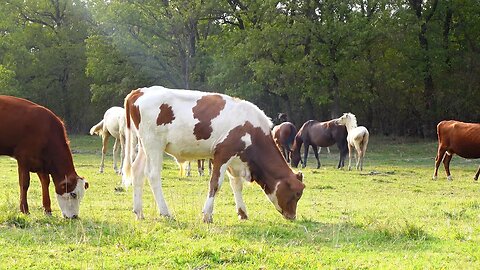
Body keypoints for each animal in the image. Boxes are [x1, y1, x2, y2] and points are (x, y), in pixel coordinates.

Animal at [122, 86, 306, 221]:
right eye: (297, 194)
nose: (292, 216)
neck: (253, 131)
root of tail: (140, 91)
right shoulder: (222, 154)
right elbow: (215, 184)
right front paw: (207, 215)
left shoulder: (235, 159)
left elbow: (236, 185)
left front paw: (242, 213)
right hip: (154, 144)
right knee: (153, 175)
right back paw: (165, 212)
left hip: (144, 146)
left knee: (137, 172)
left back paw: (139, 212)